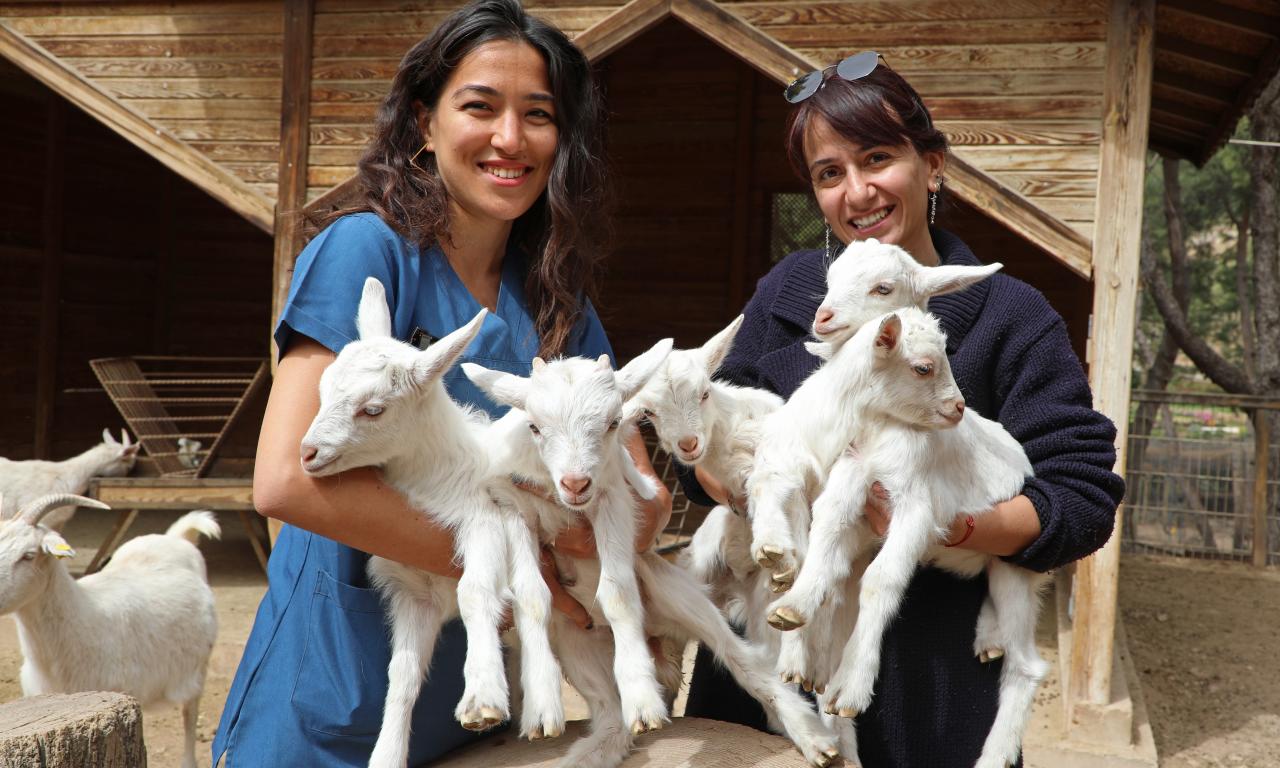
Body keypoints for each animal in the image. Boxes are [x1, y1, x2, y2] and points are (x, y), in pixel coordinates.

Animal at [302, 277, 568, 768]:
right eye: (323, 390)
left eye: (373, 409)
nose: (307, 453)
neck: (435, 476)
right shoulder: (415, 591)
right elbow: (403, 673)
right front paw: (386, 754)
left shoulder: (486, 522)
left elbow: (477, 592)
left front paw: (482, 697)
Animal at [465, 350, 844, 768]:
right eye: (534, 426)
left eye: (614, 423)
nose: (576, 483)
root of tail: (657, 638)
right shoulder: (514, 509)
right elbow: (532, 594)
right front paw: (542, 709)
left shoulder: (614, 499)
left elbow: (617, 592)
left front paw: (643, 702)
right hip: (575, 639)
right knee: (611, 715)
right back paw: (587, 754)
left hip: (679, 594)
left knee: (745, 662)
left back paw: (815, 739)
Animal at [762, 307, 1044, 768]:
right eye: (924, 367)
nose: (958, 408)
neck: (878, 427)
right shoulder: (851, 477)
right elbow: (824, 541)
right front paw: (793, 606)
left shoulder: (916, 509)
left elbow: (882, 579)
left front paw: (851, 687)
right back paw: (988, 638)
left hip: (1015, 564)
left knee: (1028, 666)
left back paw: (994, 754)